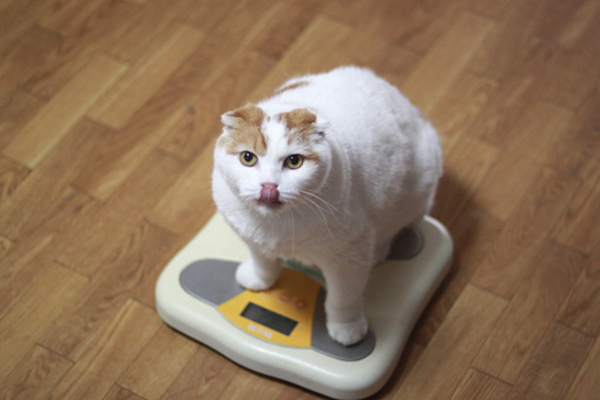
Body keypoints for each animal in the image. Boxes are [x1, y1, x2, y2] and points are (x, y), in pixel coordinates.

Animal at [211, 67, 440, 346]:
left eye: (294, 161)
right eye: (248, 158)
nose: (269, 186)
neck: (275, 226)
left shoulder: (349, 256)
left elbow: (344, 297)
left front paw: (347, 328)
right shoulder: (251, 236)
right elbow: (263, 261)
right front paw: (260, 279)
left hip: (415, 196)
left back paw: (379, 251)